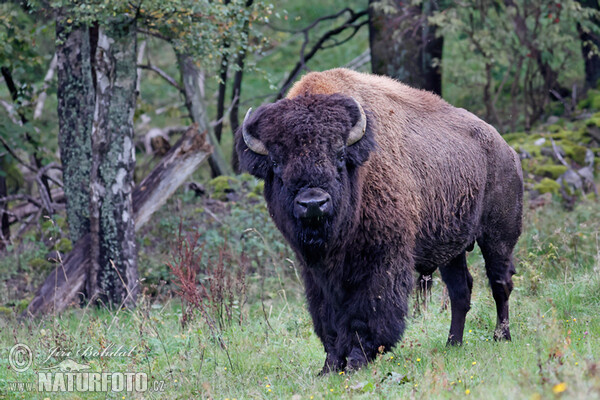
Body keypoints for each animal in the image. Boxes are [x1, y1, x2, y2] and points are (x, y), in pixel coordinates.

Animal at [234, 68, 520, 372]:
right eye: (276, 163)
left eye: (339, 156)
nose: (313, 203)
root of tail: (505, 149)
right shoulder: (317, 273)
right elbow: (328, 318)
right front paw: (330, 366)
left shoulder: (380, 259)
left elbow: (369, 311)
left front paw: (357, 360)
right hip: (452, 251)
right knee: (460, 291)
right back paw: (453, 343)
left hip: (498, 237)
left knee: (500, 283)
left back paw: (501, 336)